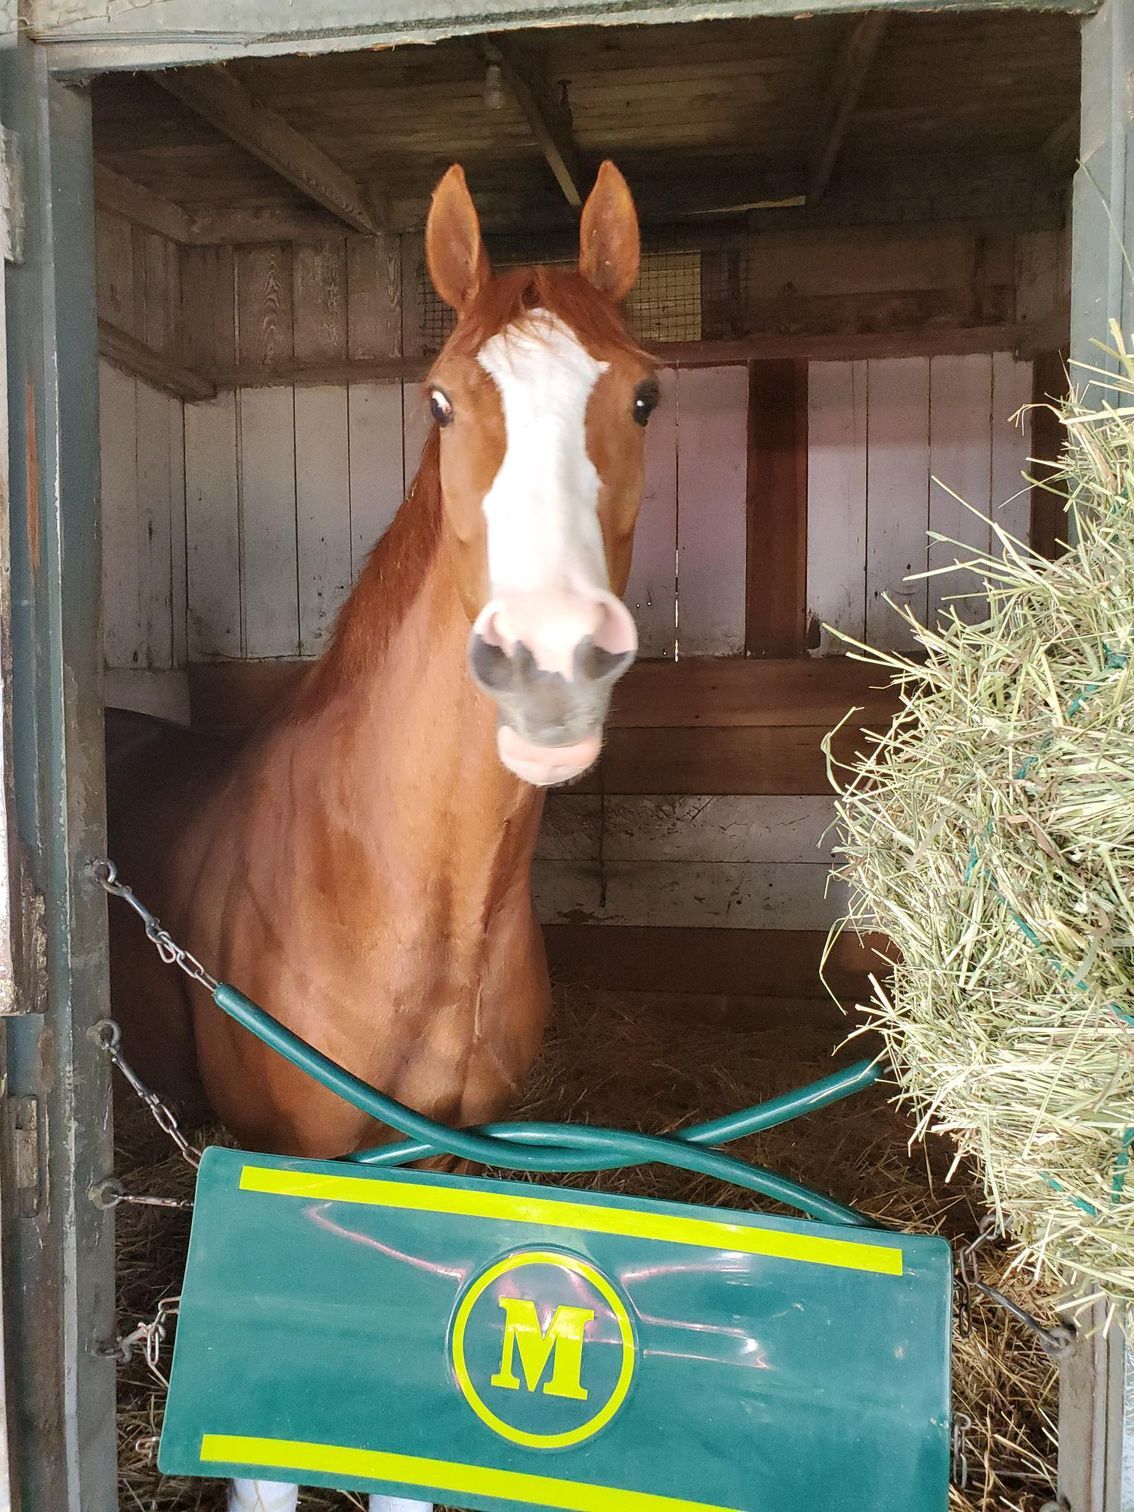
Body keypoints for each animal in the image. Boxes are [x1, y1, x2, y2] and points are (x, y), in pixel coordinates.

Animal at [106, 161, 657, 1512]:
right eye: (443, 400)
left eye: (644, 393)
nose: (550, 667)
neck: (401, 892)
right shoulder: (280, 1167)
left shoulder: (439, 1164)